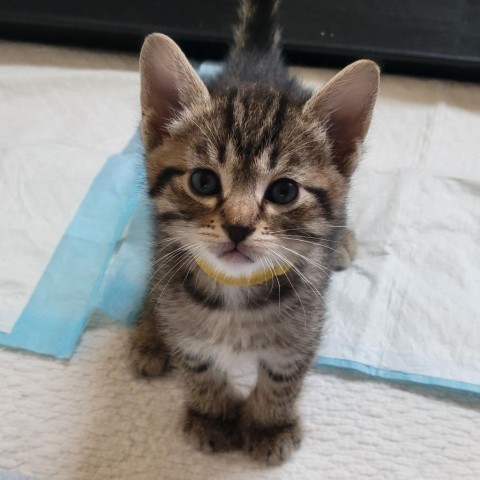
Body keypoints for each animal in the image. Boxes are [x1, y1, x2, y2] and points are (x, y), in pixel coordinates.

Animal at [131, 0, 378, 466]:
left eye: (284, 191)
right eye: (204, 182)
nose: (238, 226)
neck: (235, 294)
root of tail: (257, 59)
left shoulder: (301, 330)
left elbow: (282, 379)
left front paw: (268, 425)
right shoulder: (187, 326)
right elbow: (197, 366)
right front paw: (212, 415)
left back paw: (343, 240)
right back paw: (150, 334)